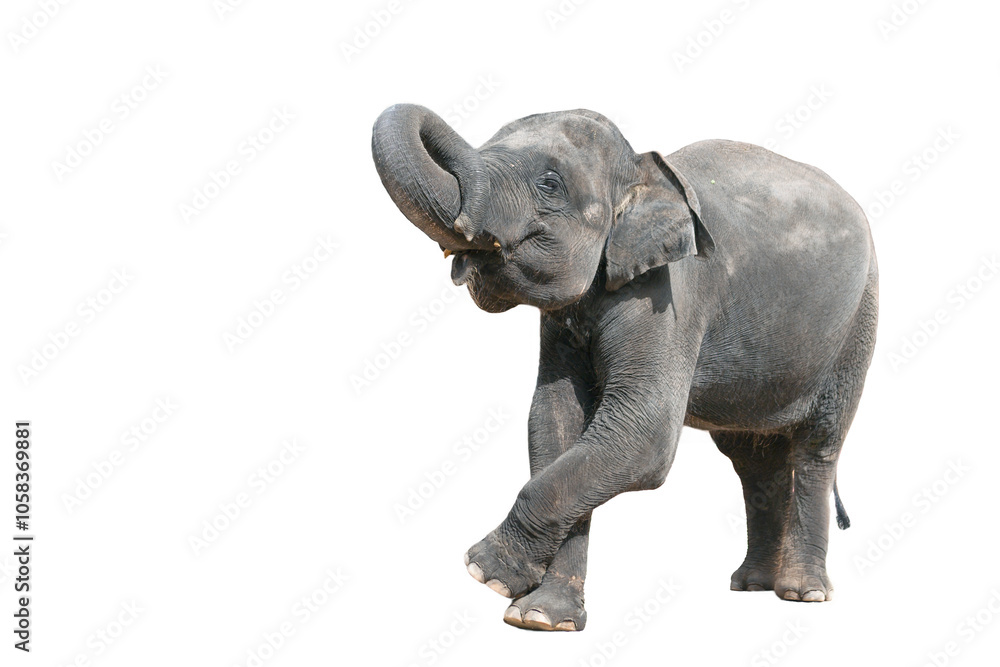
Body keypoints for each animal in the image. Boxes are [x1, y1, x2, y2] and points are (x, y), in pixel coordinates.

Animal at [371, 103, 878, 632]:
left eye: (550, 183)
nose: (466, 235)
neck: (641, 169)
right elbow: (554, 422)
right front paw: (541, 618)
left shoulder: (671, 294)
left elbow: (644, 433)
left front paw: (487, 573)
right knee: (751, 459)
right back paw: (750, 584)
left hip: (857, 325)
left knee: (817, 447)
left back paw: (803, 593)